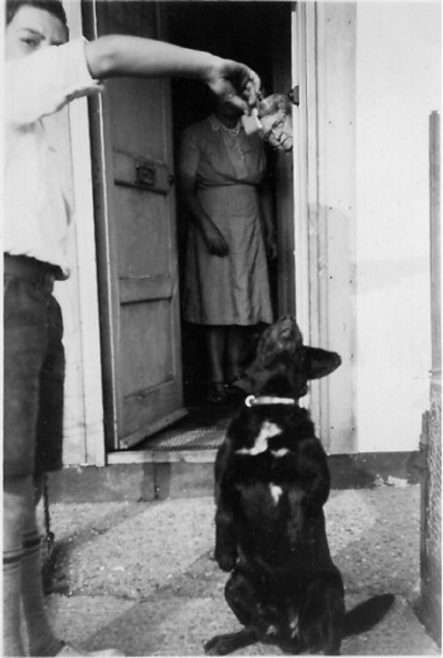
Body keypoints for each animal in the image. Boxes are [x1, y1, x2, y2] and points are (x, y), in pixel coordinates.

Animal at [206, 316, 396, 652]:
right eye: (263, 331)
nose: (288, 318)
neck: (272, 406)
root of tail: (289, 632)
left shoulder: (316, 478)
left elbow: (300, 500)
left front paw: (294, 533)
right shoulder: (225, 478)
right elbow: (224, 513)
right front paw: (224, 554)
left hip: (328, 587)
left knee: (331, 640)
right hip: (236, 586)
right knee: (255, 629)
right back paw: (227, 641)